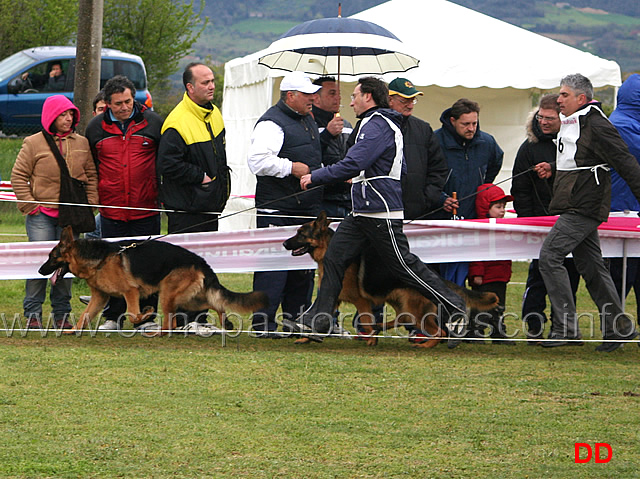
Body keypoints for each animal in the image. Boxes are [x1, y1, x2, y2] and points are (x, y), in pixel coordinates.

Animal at [38, 228, 268, 334]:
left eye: (51, 257)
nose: (40, 271)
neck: (101, 259)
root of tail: (200, 262)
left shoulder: (130, 292)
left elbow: (133, 315)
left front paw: (147, 313)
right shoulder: (99, 298)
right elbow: (84, 317)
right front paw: (71, 331)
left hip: (168, 293)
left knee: (170, 323)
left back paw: (157, 332)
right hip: (189, 299)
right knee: (214, 305)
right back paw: (225, 322)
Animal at [284, 214, 500, 348]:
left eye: (300, 234)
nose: (284, 243)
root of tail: (437, 276)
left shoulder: (361, 301)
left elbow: (366, 320)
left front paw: (371, 340)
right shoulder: (334, 297)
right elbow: (320, 314)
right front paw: (306, 337)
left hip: (413, 309)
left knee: (438, 331)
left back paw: (424, 344)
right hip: (401, 303)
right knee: (404, 319)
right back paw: (387, 328)